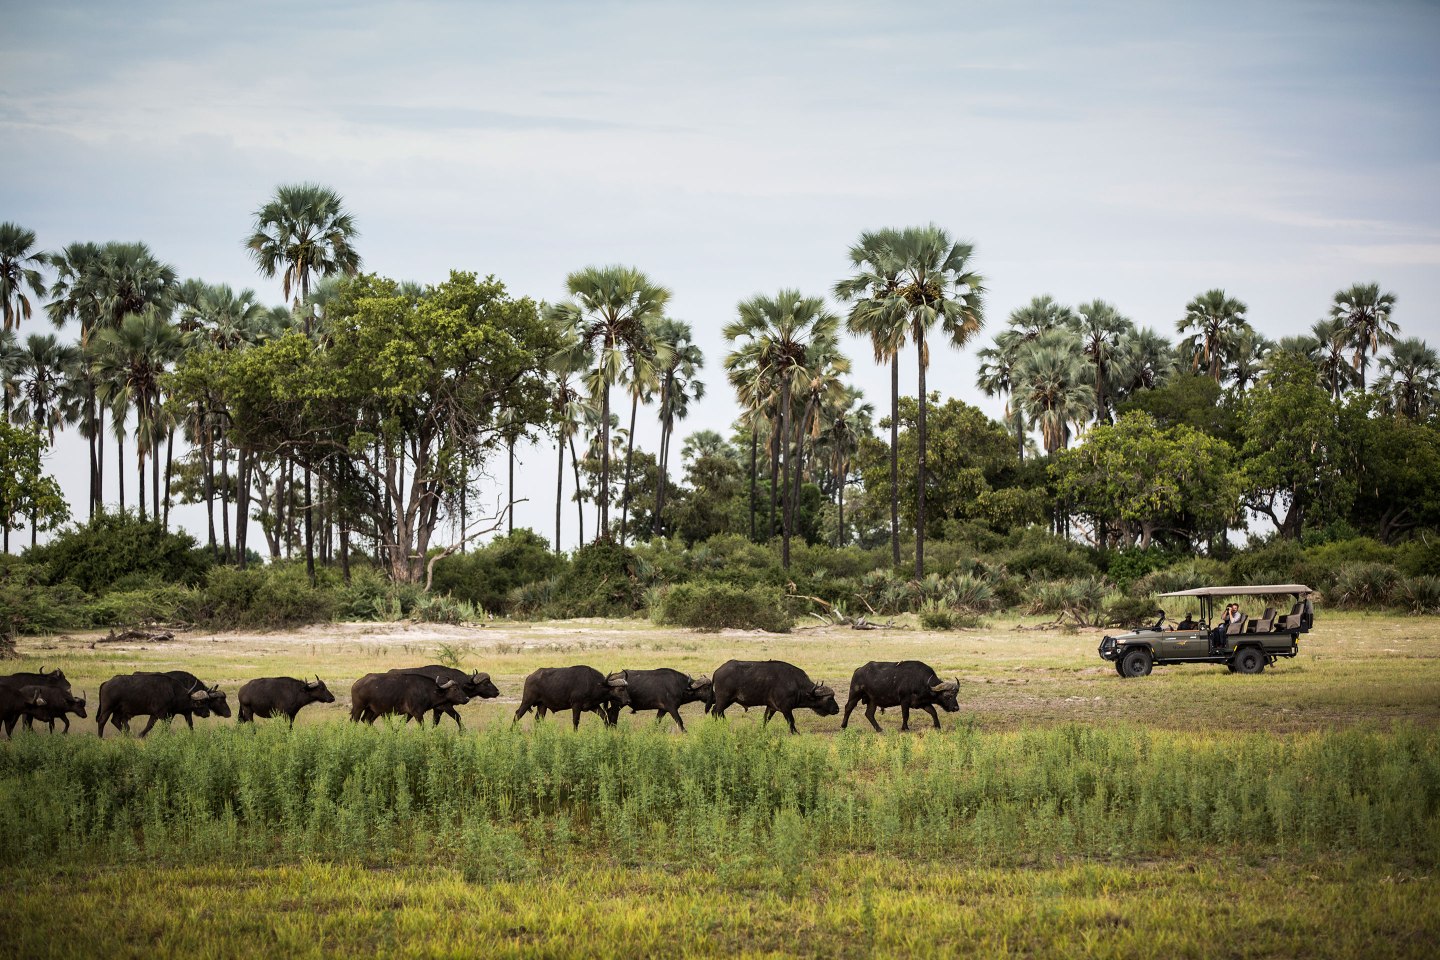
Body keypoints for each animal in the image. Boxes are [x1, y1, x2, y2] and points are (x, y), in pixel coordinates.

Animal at [711, 659, 839, 734]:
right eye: (829, 698)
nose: (837, 709)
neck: (796, 684)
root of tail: (717, 671)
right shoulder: (786, 708)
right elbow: (791, 721)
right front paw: (795, 733)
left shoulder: (771, 707)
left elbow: (765, 719)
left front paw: (762, 731)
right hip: (724, 699)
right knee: (716, 711)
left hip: (728, 700)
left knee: (719, 712)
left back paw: (724, 725)